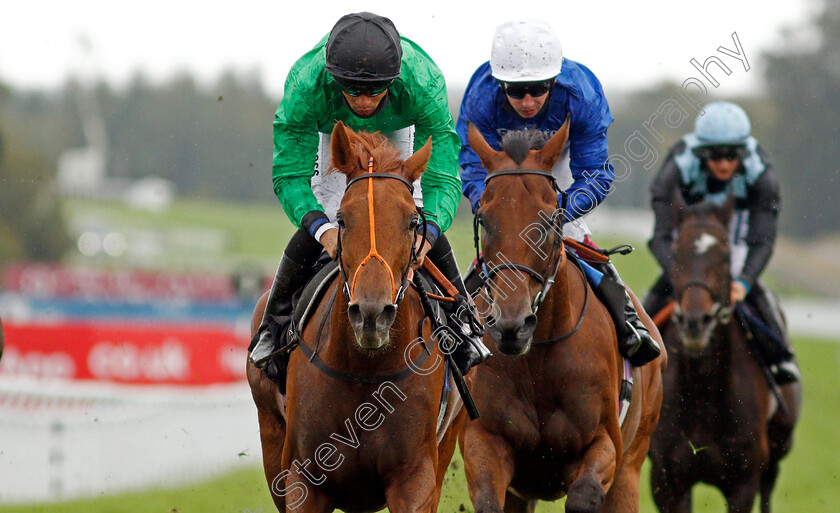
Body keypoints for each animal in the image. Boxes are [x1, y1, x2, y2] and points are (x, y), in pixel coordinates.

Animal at [246, 121, 466, 512]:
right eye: (342, 219)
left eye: (413, 221)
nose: (371, 314)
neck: (365, 369)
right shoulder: (303, 478)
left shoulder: (415, 477)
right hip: (271, 439)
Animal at [462, 121, 668, 512]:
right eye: (484, 218)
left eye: (549, 220)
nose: (512, 326)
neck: (538, 358)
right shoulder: (486, 441)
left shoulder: (605, 444)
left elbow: (584, 495)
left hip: (632, 465)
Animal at [648, 196, 800, 512]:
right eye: (676, 253)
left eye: (726, 257)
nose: (695, 321)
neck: (703, 390)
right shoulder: (666, 480)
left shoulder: (744, 481)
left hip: (778, 450)